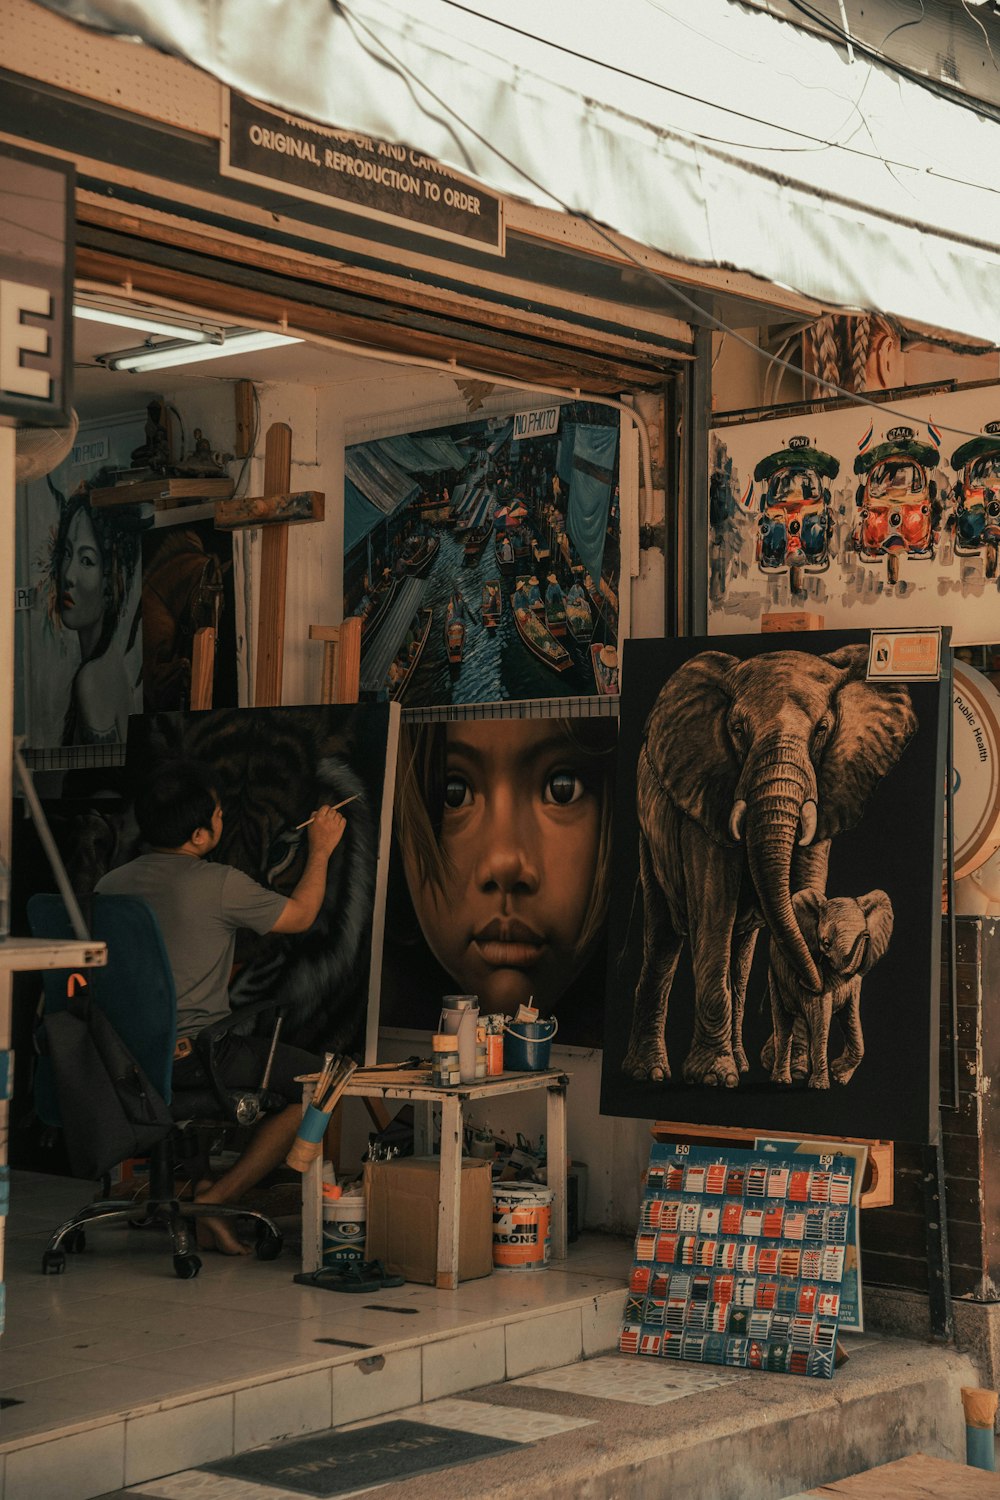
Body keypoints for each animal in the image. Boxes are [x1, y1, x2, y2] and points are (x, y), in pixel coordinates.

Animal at [773, 888, 893, 1092]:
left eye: (866, 934)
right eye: (826, 943)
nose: (866, 934)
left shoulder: (854, 984)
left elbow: (851, 1016)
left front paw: (839, 1075)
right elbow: (820, 1014)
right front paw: (820, 1085)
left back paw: (799, 1073)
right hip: (775, 976)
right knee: (783, 1023)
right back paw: (782, 1080)